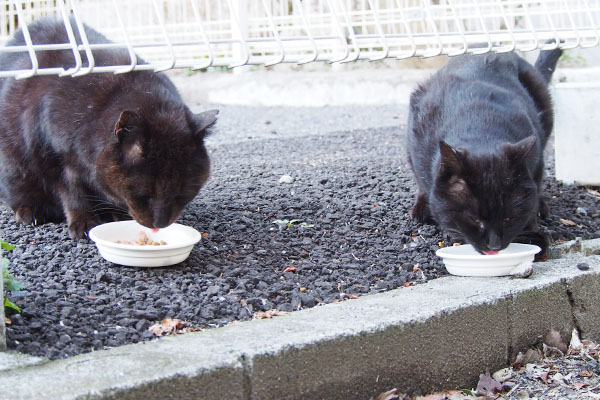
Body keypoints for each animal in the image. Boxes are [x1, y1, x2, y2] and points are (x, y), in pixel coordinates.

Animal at [0, 18, 218, 238]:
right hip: (15, 169)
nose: (159, 224)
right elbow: (72, 193)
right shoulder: (55, 158)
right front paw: (83, 222)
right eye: (143, 195)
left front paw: (118, 216)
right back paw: (30, 212)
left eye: (182, 194)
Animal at [408, 47, 564, 256]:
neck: (479, 126)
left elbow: (532, 200)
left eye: (509, 218)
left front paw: (533, 235)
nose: (494, 245)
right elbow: (423, 184)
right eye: (474, 219)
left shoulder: (536, 161)